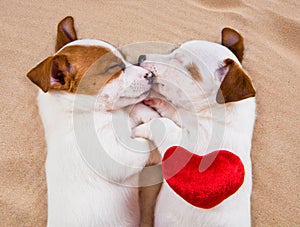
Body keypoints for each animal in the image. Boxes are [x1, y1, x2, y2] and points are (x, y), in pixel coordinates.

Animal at [26, 16, 161, 227]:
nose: (151, 74)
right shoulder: (112, 154)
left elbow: (135, 110)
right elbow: (146, 147)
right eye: (113, 68)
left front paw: (151, 114)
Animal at [133, 28, 255, 227]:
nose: (141, 57)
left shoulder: (183, 150)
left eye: (183, 63)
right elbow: (172, 113)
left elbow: (162, 123)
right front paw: (158, 103)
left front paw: (139, 128)